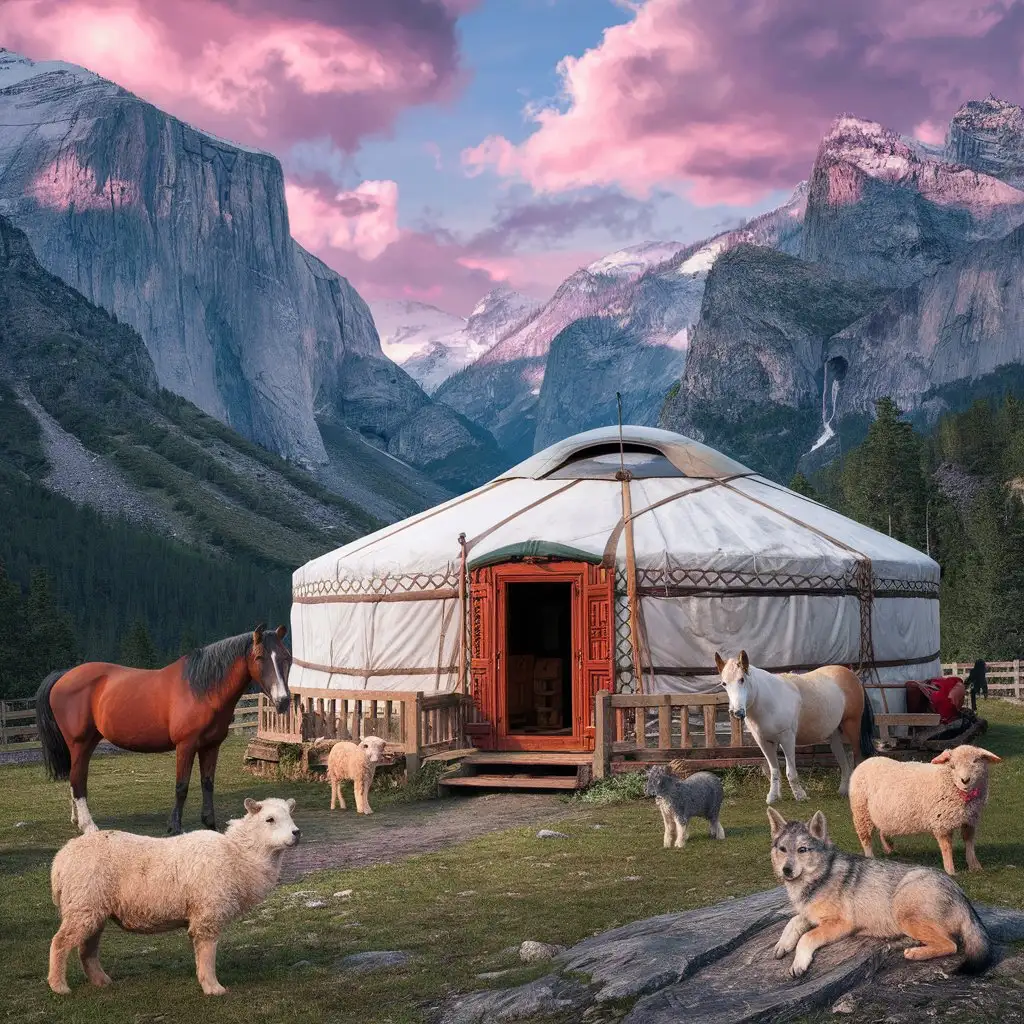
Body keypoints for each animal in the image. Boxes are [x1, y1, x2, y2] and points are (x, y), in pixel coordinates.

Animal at [36, 618, 292, 835]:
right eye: (259, 658)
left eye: (287, 657)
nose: (283, 701)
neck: (202, 689)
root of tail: (64, 675)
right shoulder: (186, 745)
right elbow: (182, 786)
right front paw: (174, 827)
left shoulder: (211, 746)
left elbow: (207, 783)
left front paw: (209, 824)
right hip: (80, 742)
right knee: (78, 780)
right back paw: (89, 826)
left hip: (86, 743)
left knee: (75, 779)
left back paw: (77, 820)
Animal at [48, 794, 299, 995]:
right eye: (269, 819)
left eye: (290, 815)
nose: (297, 833)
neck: (238, 855)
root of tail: (60, 859)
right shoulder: (208, 913)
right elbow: (207, 953)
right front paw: (213, 988)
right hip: (83, 903)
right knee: (60, 942)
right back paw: (59, 986)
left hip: (91, 906)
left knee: (86, 949)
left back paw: (101, 981)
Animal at [716, 651, 876, 802]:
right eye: (724, 683)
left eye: (742, 679)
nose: (736, 712)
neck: (769, 700)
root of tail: (852, 675)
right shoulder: (764, 742)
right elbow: (774, 770)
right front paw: (773, 797)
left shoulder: (787, 738)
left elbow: (790, 771)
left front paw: (800, 795)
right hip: (836, 735)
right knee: (844, 759)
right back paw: (843, 790)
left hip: (852, 726)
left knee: (858, 757)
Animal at [843, 741, 1003, 876]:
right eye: (952, 766)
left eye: (975, 762)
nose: (965, 780)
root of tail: (865, 762)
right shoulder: (941, 822)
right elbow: (946, 847)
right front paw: (950, 871)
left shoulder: (970, 819)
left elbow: (969, 841)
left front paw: (975, 866)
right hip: (861, 811)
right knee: (865, 838)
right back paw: (871, 856)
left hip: (884, 813)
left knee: (883, 829)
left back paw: (888, 846)